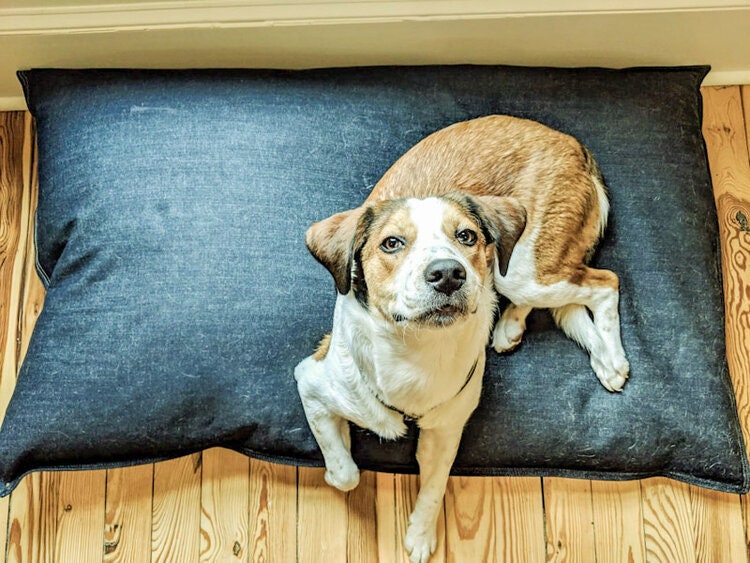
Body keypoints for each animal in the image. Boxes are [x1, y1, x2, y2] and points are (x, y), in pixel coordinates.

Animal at [294, 115, 628, 563]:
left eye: (466, 236)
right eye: (391, 244)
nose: (448, 274)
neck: (416, 353)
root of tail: (570, 143)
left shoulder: (446, 433)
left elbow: (434, 488)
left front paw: (420, 535)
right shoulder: (311, 384)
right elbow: (347, 473)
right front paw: (336, 471)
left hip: (522, 269)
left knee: (604, 283)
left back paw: (611, 359)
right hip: (517, 273)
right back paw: (515, 329)